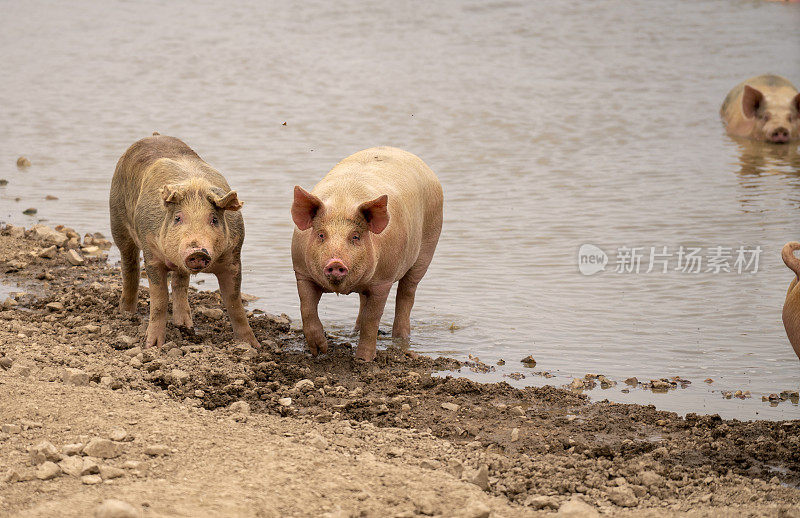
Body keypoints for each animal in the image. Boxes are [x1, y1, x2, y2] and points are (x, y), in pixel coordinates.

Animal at [108, 136, 260, 350]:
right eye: (178, 218)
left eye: (214, 219)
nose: (197, 251)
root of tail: (153, 136)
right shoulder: (151, 254)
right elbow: (159, 299)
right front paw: (152, 345)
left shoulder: (233, 257)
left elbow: (234, 302)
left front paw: (252, 345)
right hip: (117, 221)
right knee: (129, 266)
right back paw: (126, 313)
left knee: (180, 281)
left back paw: (185, 326)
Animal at [292, 148, 444, 364]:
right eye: (321, 235)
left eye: (355, 236)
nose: (336, 262)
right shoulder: (301, 271)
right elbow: (307, 309)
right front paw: (320, 351)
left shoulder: (383, 281)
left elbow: (372, 319)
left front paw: (363, 360)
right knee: (364, 300)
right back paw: (353, 332)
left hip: (427, 246)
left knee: (407, 293)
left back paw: (400, 338)